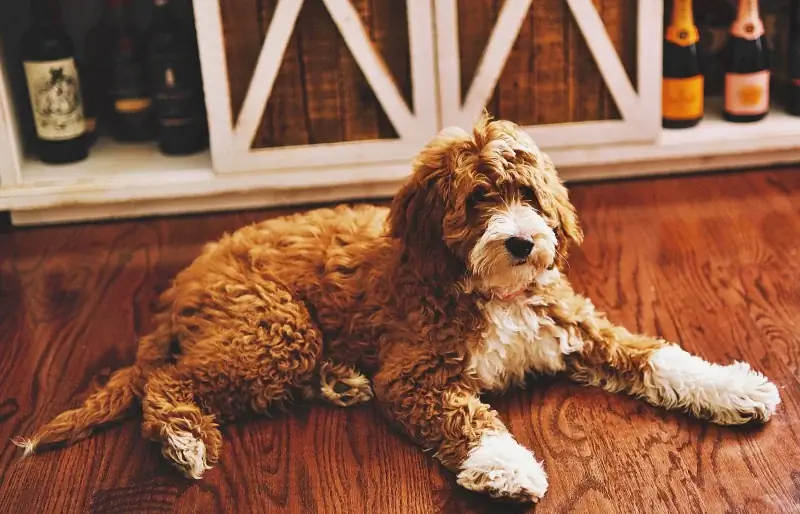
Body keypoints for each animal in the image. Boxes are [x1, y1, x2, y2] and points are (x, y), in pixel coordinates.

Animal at [15, 115, 784, 500]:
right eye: (479, 200)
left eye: (529, 195)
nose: (523, 241)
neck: (493, 290)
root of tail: (181, 285)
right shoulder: (418, 374)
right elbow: (468, 416)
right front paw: (507, 467)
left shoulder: (579, 323)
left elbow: (657, 355)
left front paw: (734, 387)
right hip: (274, 326)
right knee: (167, 381)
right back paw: (183, 441)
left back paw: (340, 380)